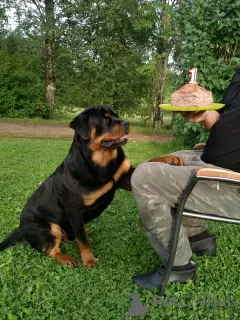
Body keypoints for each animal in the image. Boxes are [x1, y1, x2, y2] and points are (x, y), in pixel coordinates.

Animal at [0, 105, 184, 268]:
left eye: (116, 114)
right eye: (104, 119)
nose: (126, 123)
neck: (102, 163)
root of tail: (20, 226)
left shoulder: (126, 178)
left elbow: (148, 162)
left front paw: (170, 159)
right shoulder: (74, 209)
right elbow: (82, 241)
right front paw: (88, 259)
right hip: (48, 227)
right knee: (52, 249)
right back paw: (66, 258)